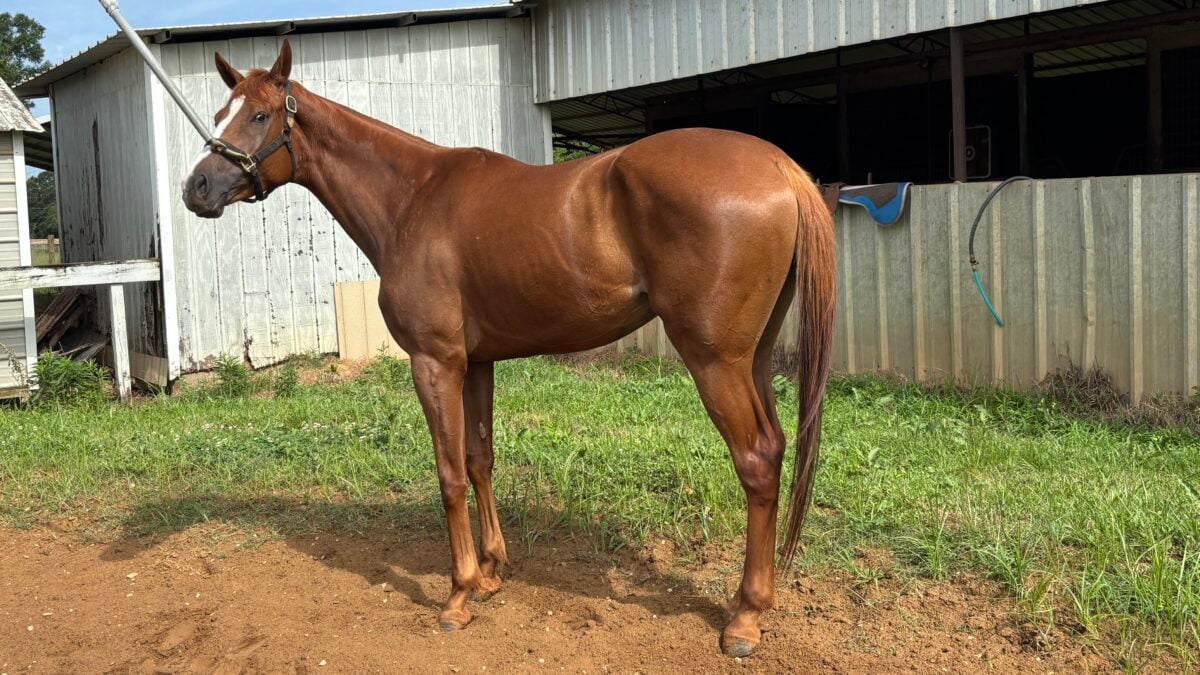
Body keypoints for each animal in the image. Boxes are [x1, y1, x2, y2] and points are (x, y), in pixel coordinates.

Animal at [180, 39, 836, 658]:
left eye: (260, 115)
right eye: (220, 113)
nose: (196, 188)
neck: (411, 199)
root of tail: (778, 165)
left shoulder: (434, 364)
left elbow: (448, 473)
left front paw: (459, 594)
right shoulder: (475, 363)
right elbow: (479, 459)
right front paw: (492, 571)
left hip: (714, 362)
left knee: (756, 460)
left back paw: (745, 617)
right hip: (751, 359)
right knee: (776, 446)